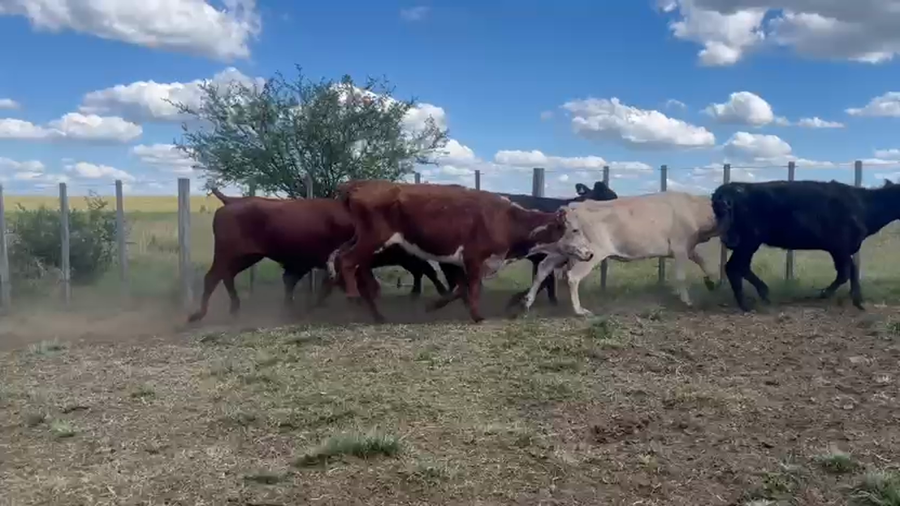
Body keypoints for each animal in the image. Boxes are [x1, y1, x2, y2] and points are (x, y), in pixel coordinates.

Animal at [186, 189, 453, 323]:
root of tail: (231, 201)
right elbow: (366, 287)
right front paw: (377, 315)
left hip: (246, 257)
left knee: (226, 276)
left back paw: (235, 308)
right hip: (228, 253)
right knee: (213, 277)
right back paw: (198, 314)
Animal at [329, 180, 582, 323]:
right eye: (574, 230)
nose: (588, 252)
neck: (505, 218)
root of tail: (357, 185)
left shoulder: (462, 261)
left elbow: (461, 289)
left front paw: (434, 306)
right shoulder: (473, 258)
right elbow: (471, 288)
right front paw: (477, 316)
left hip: (361, 240)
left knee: (342, 257)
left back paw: (375, 313)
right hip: (373, 238)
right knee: (348, 261)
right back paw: (354, 299)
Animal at [514, 191, 719, 317]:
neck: (694, 208)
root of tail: (573, 207)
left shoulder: (689, 249)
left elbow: (704, 262)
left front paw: (713, 281)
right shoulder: (680, 248)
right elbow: (681, 276)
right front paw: (687, 301)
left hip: (567, 249)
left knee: (543, 267)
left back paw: (527, 302)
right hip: (592, 252)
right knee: (572, 276)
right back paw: (579, 311)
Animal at [712, 179, 900, 311]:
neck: (863, 205)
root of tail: (727, 189)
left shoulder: (839, 249)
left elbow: (848, 271)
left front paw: (855, 299)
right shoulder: (840, 247)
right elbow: (847, 272)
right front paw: (832, 295)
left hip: (748, 243)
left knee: (740, 267)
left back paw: (762, 294)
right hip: (749, 241)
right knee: (734, 267)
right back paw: (747, 304)